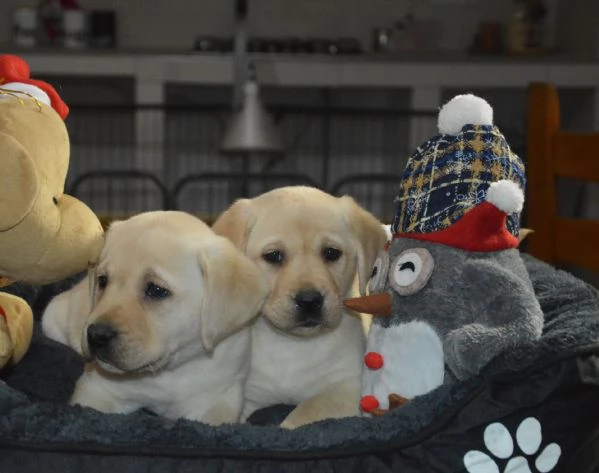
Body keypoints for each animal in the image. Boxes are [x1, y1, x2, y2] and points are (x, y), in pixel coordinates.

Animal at [45, 210, 270, 424]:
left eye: (156, 290)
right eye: (103, 281)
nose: (96, 335)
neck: (168, 372)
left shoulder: (218, 398)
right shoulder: (98, 388)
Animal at [213, 185, 386, 428]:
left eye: (331, 253)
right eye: (273, 256)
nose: (309, 300)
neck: (293, 345)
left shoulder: (345, 389)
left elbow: (304, 413)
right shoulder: (249, 395)